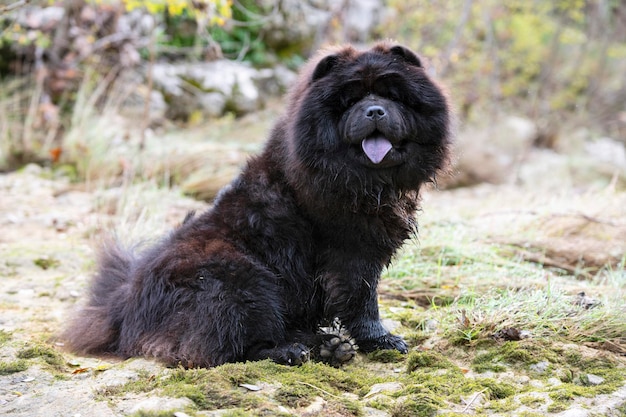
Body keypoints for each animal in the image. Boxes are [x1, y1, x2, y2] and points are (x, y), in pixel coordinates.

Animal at [63, 41, 450, 368]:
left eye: (392, 96)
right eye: (350, 100)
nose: (374, 111)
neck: (367, 181)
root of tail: (123, 304)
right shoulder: (352, 252)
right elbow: (362, 300)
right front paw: (383, 341)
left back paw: (328, 345)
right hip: (245, 282)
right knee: (232, 346)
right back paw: (295, 351)